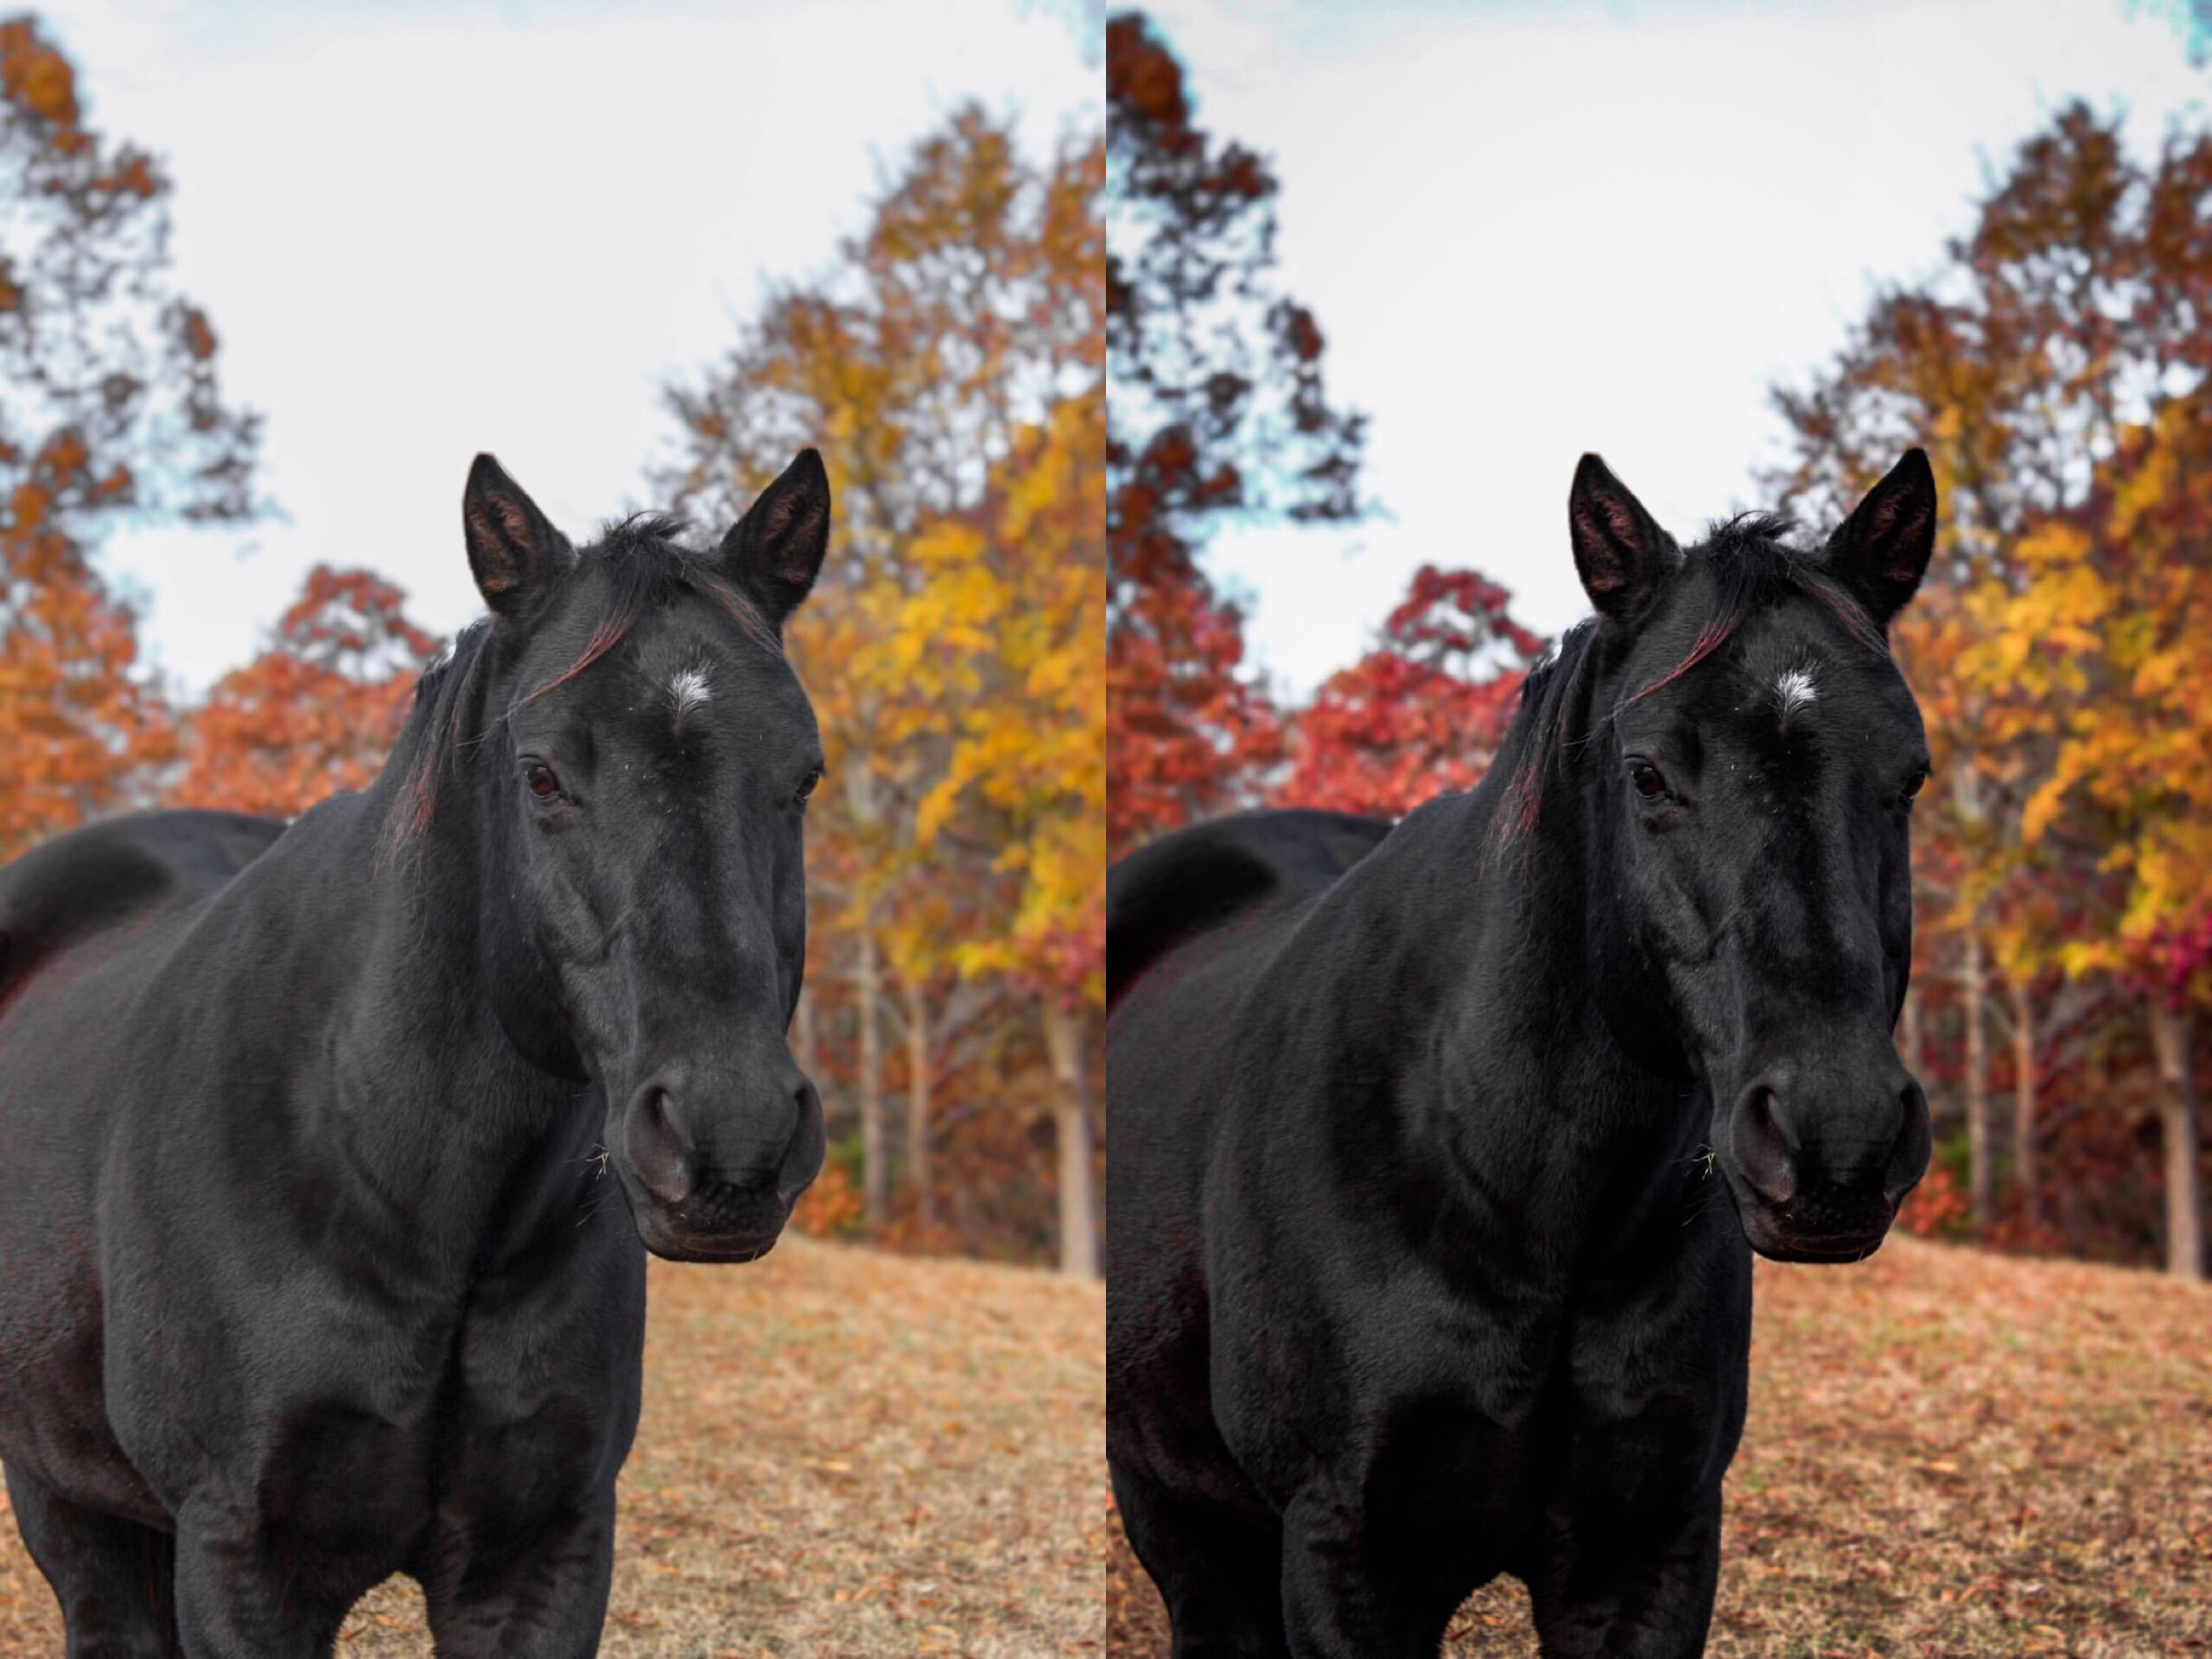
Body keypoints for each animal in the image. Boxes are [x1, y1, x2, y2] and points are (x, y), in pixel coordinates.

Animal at [0, 449, 832, 1655]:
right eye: (541, 776)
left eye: (803, 777)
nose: (734, 1143)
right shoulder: (241, 1564)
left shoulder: (543, 1556)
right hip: (64, 1502)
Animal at [1106, 451, 1938, 1658]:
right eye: (1647, 776)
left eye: (1909, 776)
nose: (1839, 1142)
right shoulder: (1345, 1567)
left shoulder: (1648, 1557)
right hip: (1186, 1527)